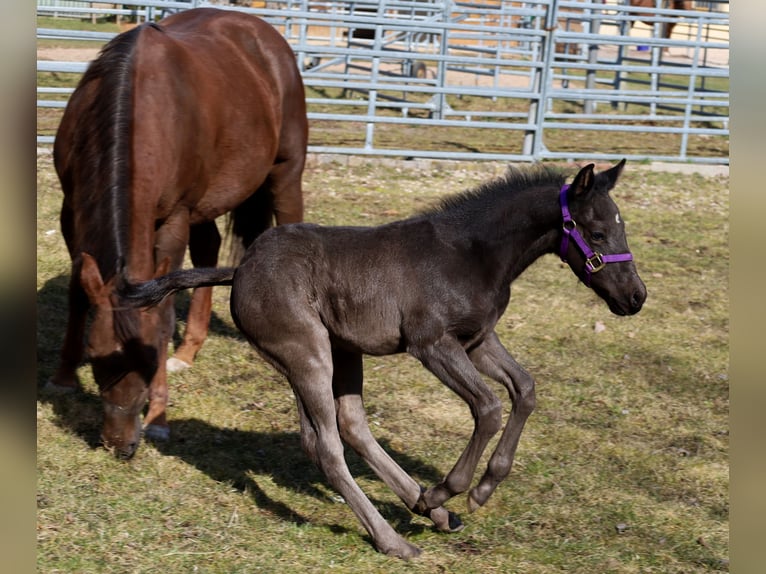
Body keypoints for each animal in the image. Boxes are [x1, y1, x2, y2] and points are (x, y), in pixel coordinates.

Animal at [45, 7, 306, 460]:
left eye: (150, 360)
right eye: (96, 355)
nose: (121, 444)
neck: (138, 109)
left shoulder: (174, 218)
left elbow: (165, 309)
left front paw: (159, 420)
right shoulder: (71, 209)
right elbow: (79, 291)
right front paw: (63, 378)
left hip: (285, 173)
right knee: (209, 250)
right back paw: (189, 350)